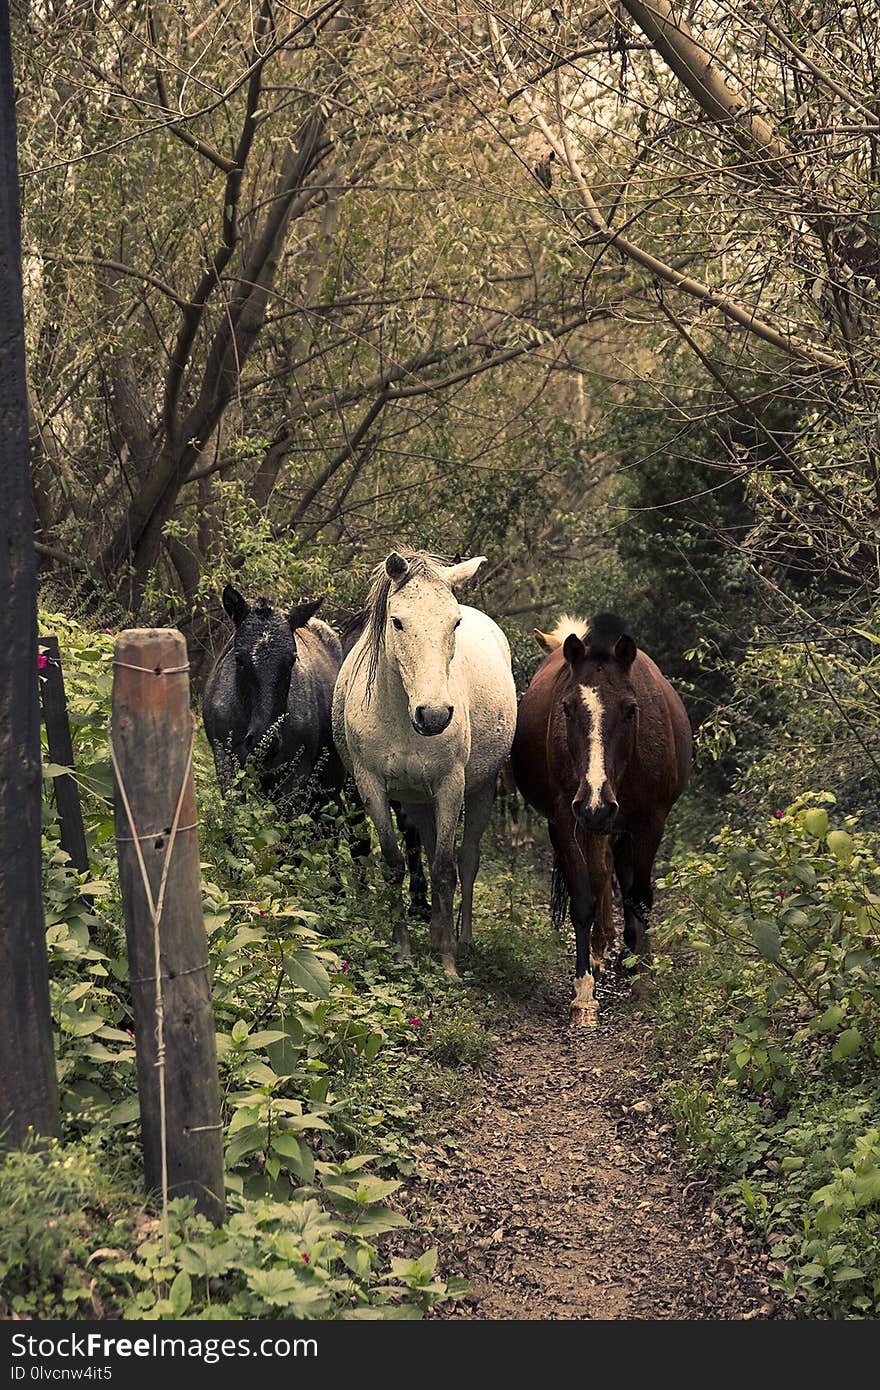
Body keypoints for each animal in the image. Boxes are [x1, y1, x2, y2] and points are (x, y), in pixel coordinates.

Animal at [332, 547, 517, 973]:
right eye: (398, 622)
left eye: (455, 622)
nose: (433, 715)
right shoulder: (372, 787)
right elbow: (395, 863)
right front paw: (403, 950)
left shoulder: (451, 785)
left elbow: (445, 870)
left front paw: (447, 961)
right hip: (418, 801)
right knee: (430, 851)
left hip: (479, 791)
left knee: (466, 861)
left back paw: (462, 939)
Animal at [511, 614, 689, 1028]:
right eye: (567, 708)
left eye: (630, 709)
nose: (595, 800)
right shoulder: (568, 821)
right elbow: (585, 898)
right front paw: (584, 994)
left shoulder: (649, 822)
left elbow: (639, 897)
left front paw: (642, 976)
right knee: (603, 875)